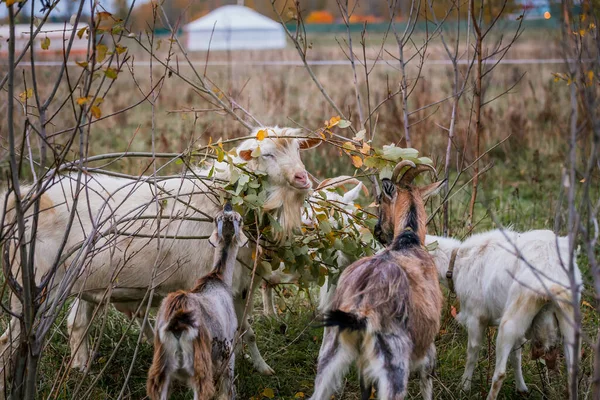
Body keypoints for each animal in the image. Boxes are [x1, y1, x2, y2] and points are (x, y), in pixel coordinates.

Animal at [146, 205, 247, 398]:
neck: (217, 277)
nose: (228, 206)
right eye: (241, 219)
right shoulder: (228, 350)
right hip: (200, 368)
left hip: (161, 372)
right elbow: (227, 392)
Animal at [312, 161, 442, 398]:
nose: (378, 231)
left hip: (330, 352)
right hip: (394, 364)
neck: (408, 240)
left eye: (380, 200)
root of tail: (360, 306)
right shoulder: (428, 350)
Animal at [426, 228, 580, 400]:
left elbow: (472, 352)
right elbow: (516, 356)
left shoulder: (475, 317)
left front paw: (464, 387)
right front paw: (522, 389)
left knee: (499, 373)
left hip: (511, 320)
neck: (459, 262)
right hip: (567, 319)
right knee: (572, 372)